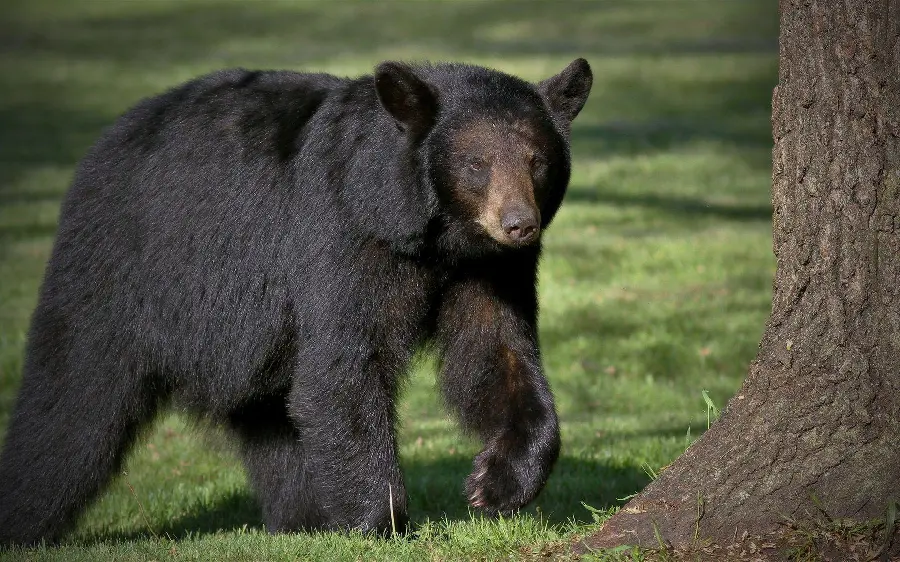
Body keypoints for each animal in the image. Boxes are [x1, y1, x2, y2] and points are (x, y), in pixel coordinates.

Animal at [0, 58, 592, 544]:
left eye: (537, 160)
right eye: (475, 163)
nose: (519, 224)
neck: (432, 236)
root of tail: (102, 145)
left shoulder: (490, 270)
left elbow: (497, 354)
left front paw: (495, 484)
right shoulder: (343, 237)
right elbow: (344, 366)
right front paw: (382, 523)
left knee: (273, 421)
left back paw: (303, 519)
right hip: (120, 273)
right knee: (74, 400)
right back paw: (25, 518)